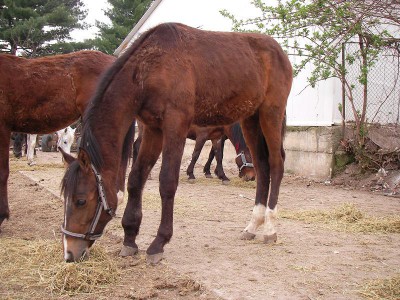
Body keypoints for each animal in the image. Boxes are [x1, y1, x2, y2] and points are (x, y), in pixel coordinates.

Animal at [61, 22, 292, 264]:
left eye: (80, 201)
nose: (70, 253)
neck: (150, 69)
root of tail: (279, 52)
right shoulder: (153, 129)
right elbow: (135, 179)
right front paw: (130, 238)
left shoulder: (175, 126)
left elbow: (168, 181)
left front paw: (158, 243)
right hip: (251, 120)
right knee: (262, 167)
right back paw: (253, 225)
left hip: (270, 114)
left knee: (276, 164)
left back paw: (270, 228)